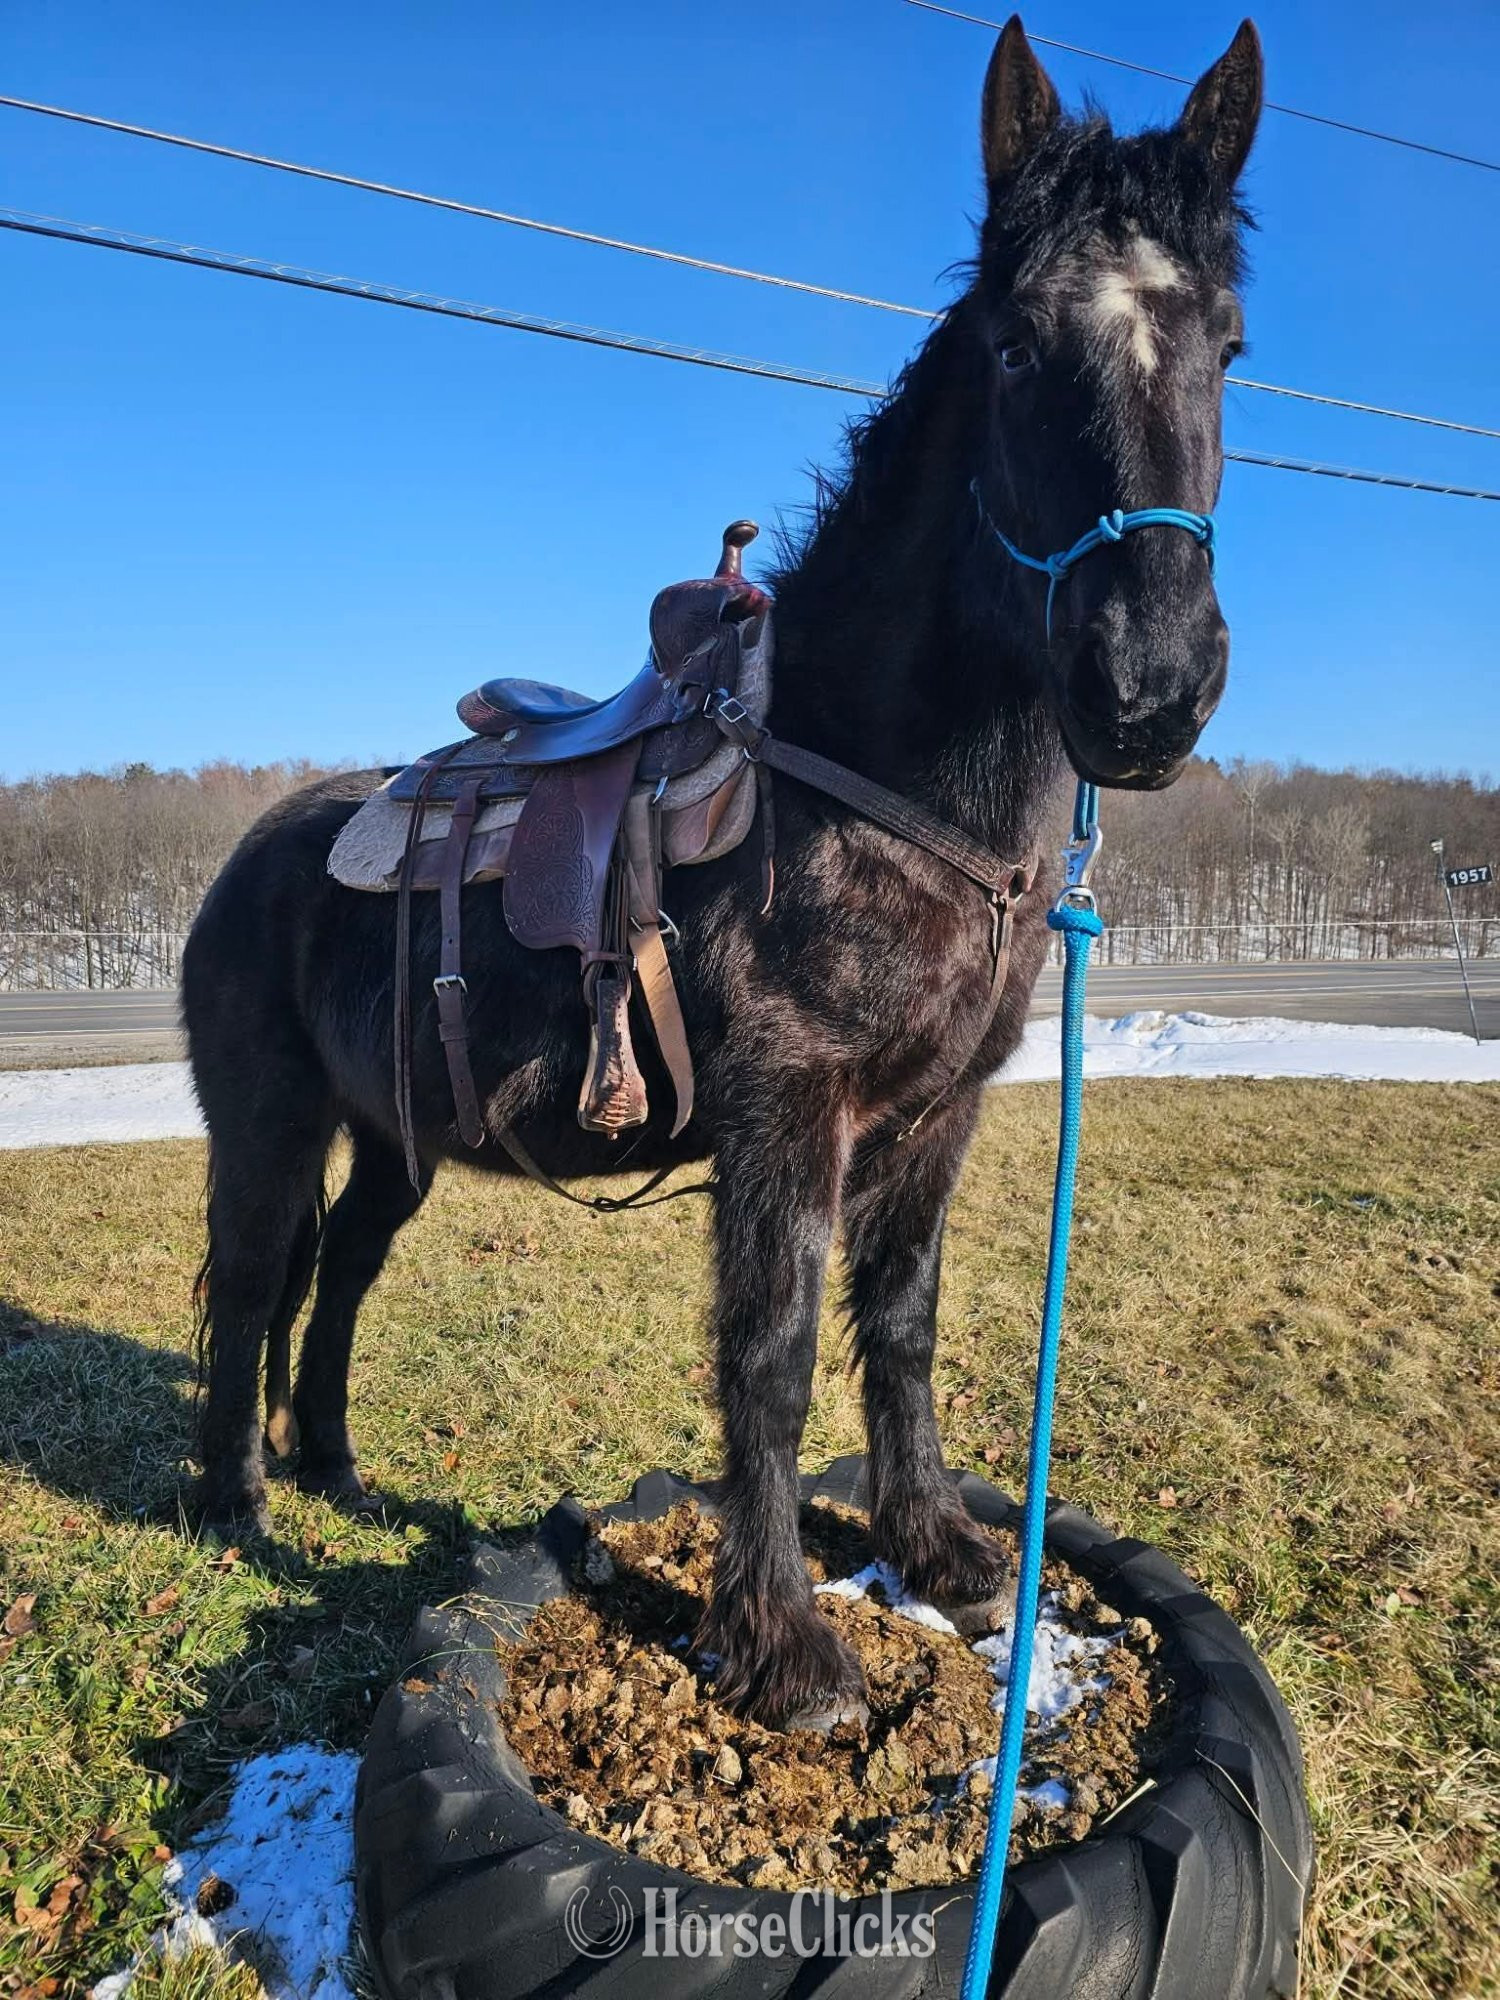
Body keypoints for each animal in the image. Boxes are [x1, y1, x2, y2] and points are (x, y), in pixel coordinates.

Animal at [184, 15, 1263, 1728]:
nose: (1149, 687)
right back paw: (232, 1498)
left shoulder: (933, 1117)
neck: (879, 781)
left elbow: (902, 1321)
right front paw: (788, 1648)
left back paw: (336, 1471)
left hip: (398, 1142)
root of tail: (258, 856)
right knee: (247, 1283)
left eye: (1226, 347)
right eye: (1018, 348)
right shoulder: (786, 1114)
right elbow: (771, 1355)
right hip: (271, 1122)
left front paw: (940, 1549)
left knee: (337, 1277)